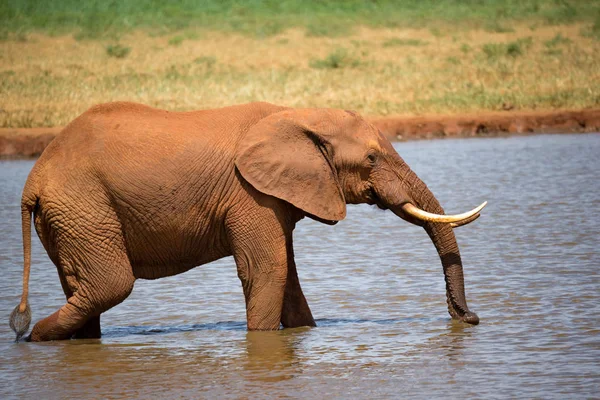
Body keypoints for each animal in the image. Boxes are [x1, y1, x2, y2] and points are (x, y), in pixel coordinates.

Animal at [9, 101, 486, 342]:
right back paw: (30, 339)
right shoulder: (249, 193)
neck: (296, 113)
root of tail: (34, 177)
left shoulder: (274, 193)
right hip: (83, 206)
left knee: (83, 288)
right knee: (110, 284)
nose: (469, 318)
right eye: (371, 158)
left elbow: (287, 274)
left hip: (72, 216)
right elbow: (267, 269)